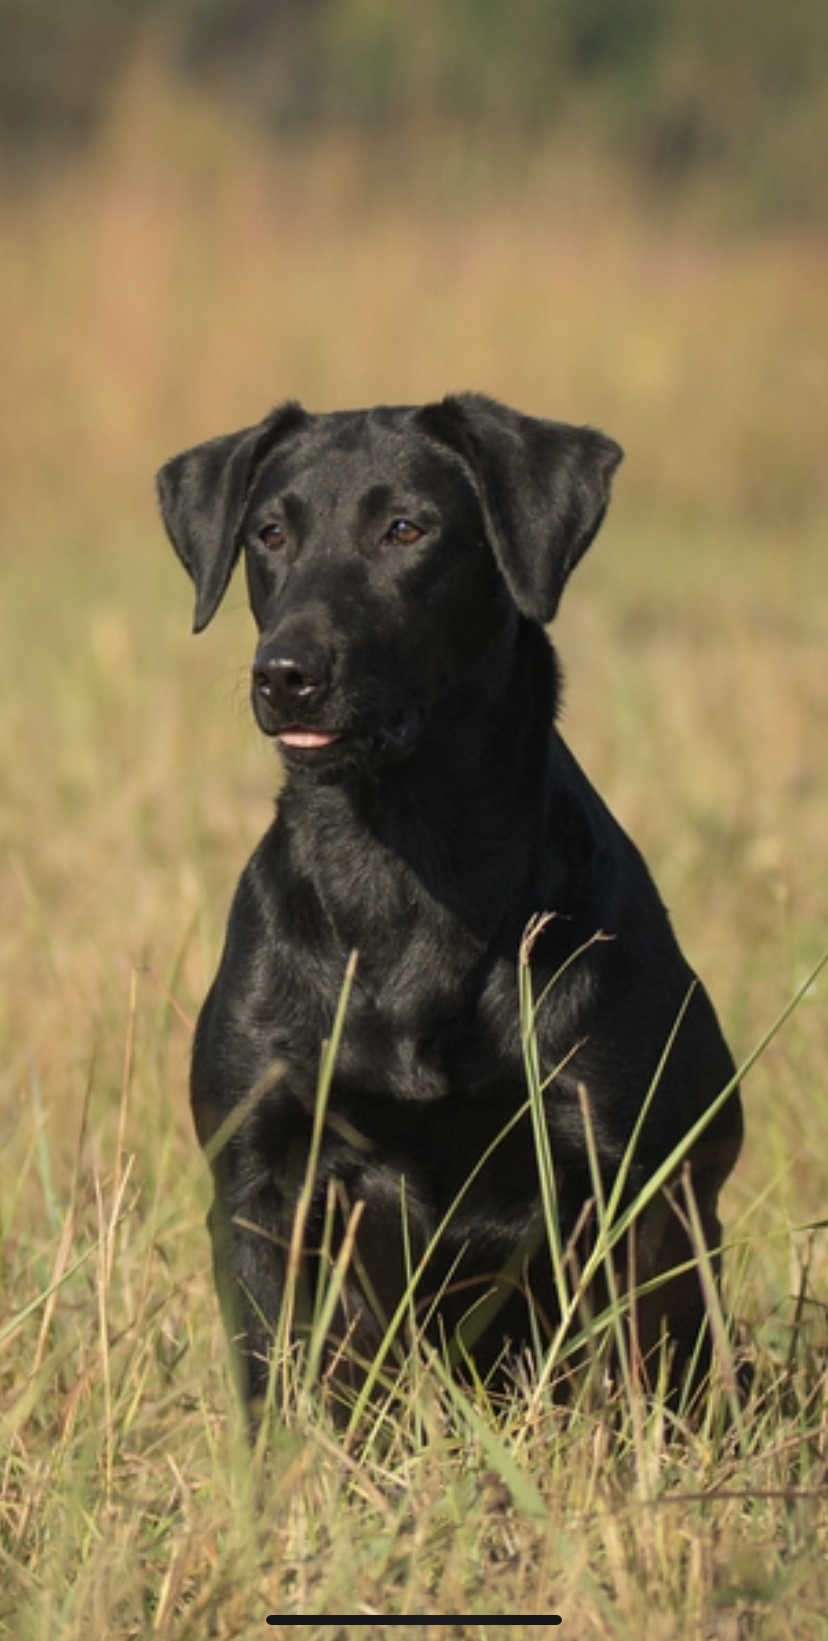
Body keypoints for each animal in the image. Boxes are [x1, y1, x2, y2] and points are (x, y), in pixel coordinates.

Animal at [158, 390, 737, 1417]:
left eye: (407, 529)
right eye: (271, 532)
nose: (285, 671)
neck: (405, 867)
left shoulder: (624, 1183)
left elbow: (615, 1390)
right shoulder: (260, 1178)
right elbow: (278, 1383)